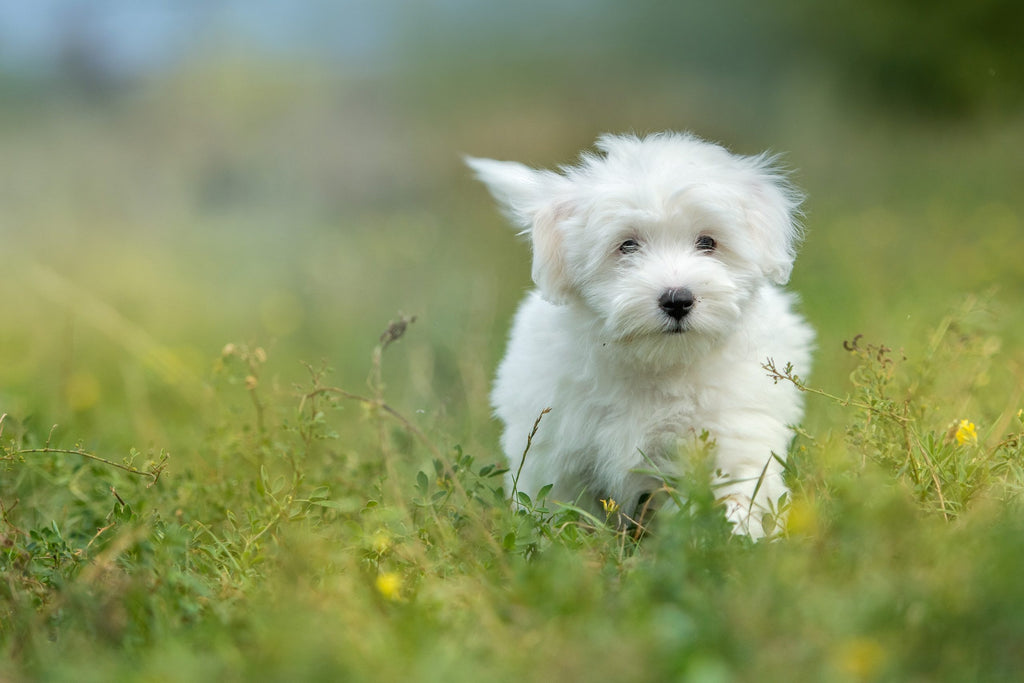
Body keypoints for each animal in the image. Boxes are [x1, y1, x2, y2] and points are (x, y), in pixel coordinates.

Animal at [468, 132, 815, 540]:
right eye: (627, 245)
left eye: (708, 242)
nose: (677, 299)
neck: (657, 365)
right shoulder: (556, 452)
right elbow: (558, 507)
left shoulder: (735, 433)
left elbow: (739, 492)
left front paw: (735, 539)